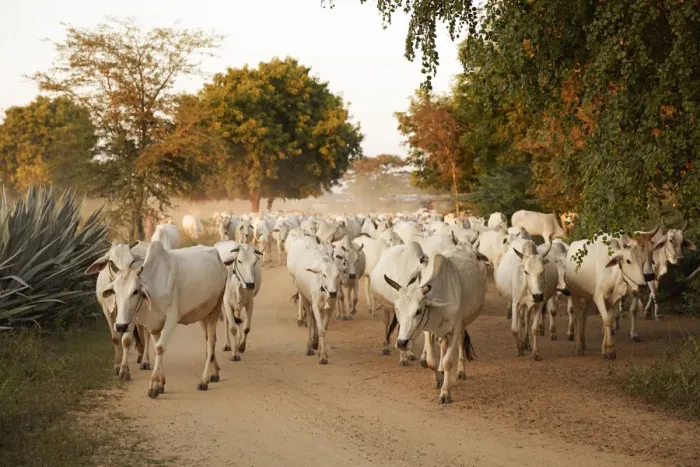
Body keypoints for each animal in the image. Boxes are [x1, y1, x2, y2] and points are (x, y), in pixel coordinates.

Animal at [102, 242, 227, 398]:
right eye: (115, 292)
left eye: (135, 291)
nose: (120, 326)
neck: (153, 284)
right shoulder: (153, 324)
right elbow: (157, 349)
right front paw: (160, 383)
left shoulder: (171, 319)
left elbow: (160, 348)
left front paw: (154, 385)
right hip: (203, 313)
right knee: (210, 339)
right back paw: (214, 373)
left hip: (215, 309)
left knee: (210, 343)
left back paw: (203, 380)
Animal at [384, 248, 486, 404]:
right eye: (397, 309)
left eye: (419, 310)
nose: (401, 343)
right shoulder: (428, 330)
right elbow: (431, 361)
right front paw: (438, 379)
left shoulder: (455, 328)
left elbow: (448, 361)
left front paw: (445, 392)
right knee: (443, 344)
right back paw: (441, 371)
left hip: (462, 324)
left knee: (461, 343)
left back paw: (460, 371)